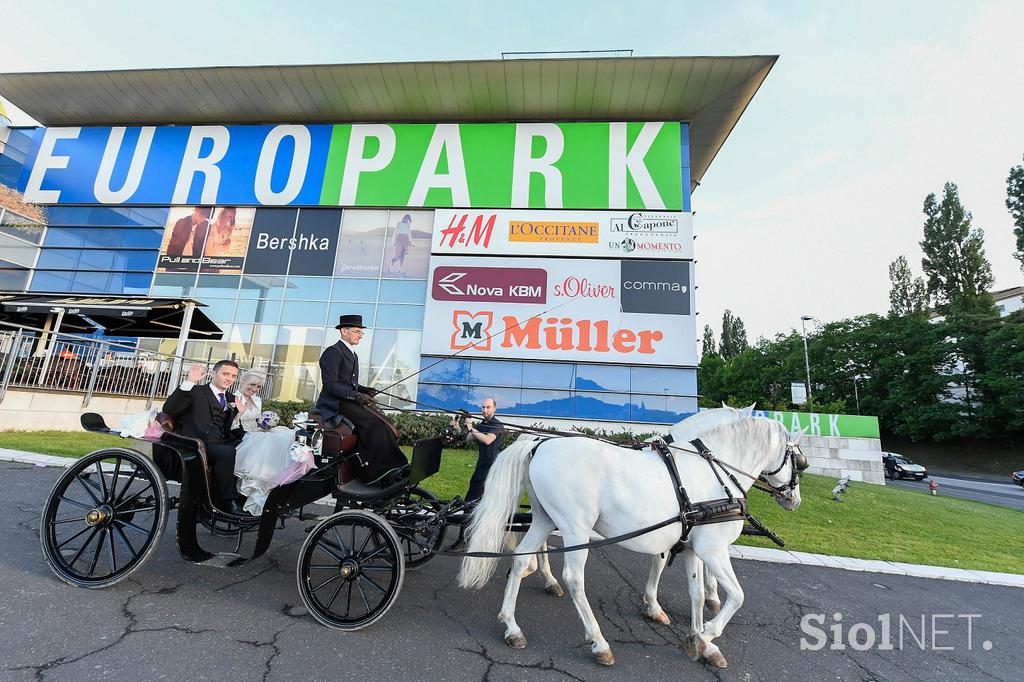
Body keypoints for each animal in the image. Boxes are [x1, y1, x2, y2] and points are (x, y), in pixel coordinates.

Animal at [460, 413, 802, 663]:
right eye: (799, 461)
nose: (794, 500)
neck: (715, 472)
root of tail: (539, 444)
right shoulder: (712, 549)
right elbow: (738, 596)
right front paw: (706, 633)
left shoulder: (693, 548)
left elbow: (694, 594)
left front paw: (699, 639)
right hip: (575, 527)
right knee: (574, 578)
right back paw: (599, 642)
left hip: (545, 518)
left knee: (520, 562)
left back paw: (512, 626)